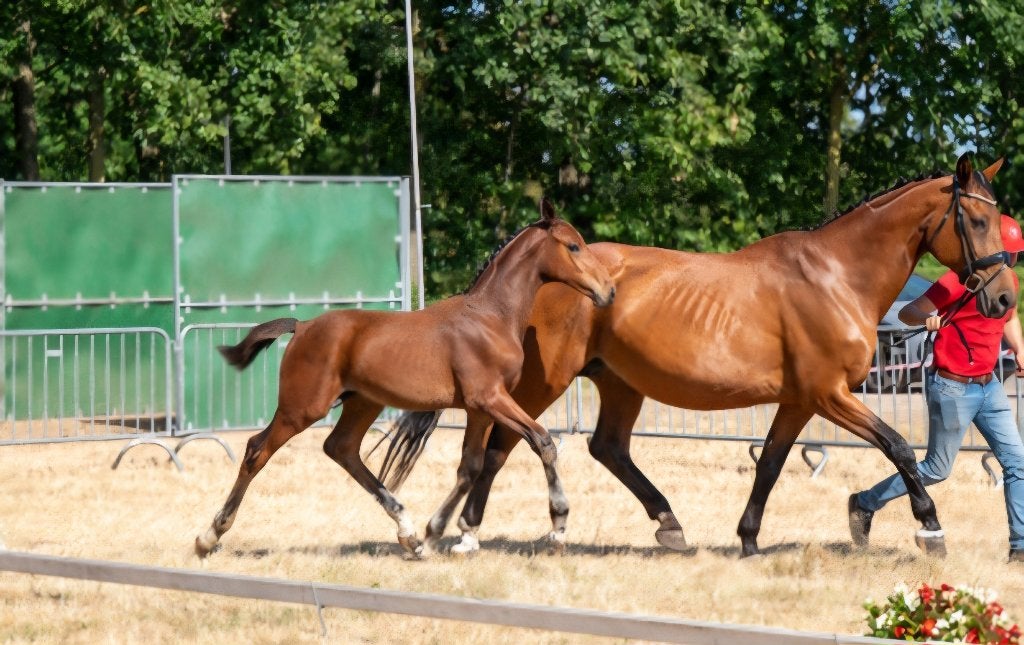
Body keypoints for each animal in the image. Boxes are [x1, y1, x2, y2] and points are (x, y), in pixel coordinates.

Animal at [194, 200, 615, 559]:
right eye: (573, 246)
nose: (608, 291)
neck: (490, 317)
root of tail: (302, 326)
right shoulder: (490, 399)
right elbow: (542, 441)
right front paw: (558, 524)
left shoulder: (479, 409)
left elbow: (470, 466)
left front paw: (435, 532)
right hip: (302, 408)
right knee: (256, 450)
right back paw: (209, 535)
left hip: (363, 403)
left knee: (342, 449)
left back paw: (408, 533)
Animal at [382, 153, 1014, 558]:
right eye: (979, 219)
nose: (1005, 298)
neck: (836, 278)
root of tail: (535, 266)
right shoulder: (830, 395)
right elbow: (900, 447)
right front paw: (930, 530)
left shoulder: (799, 401)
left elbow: (772, 463)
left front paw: (749, 537)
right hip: (543, 383)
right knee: (500, 447)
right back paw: (466, 532)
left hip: (618, 383)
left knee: (606, 447)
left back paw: (669, 525)